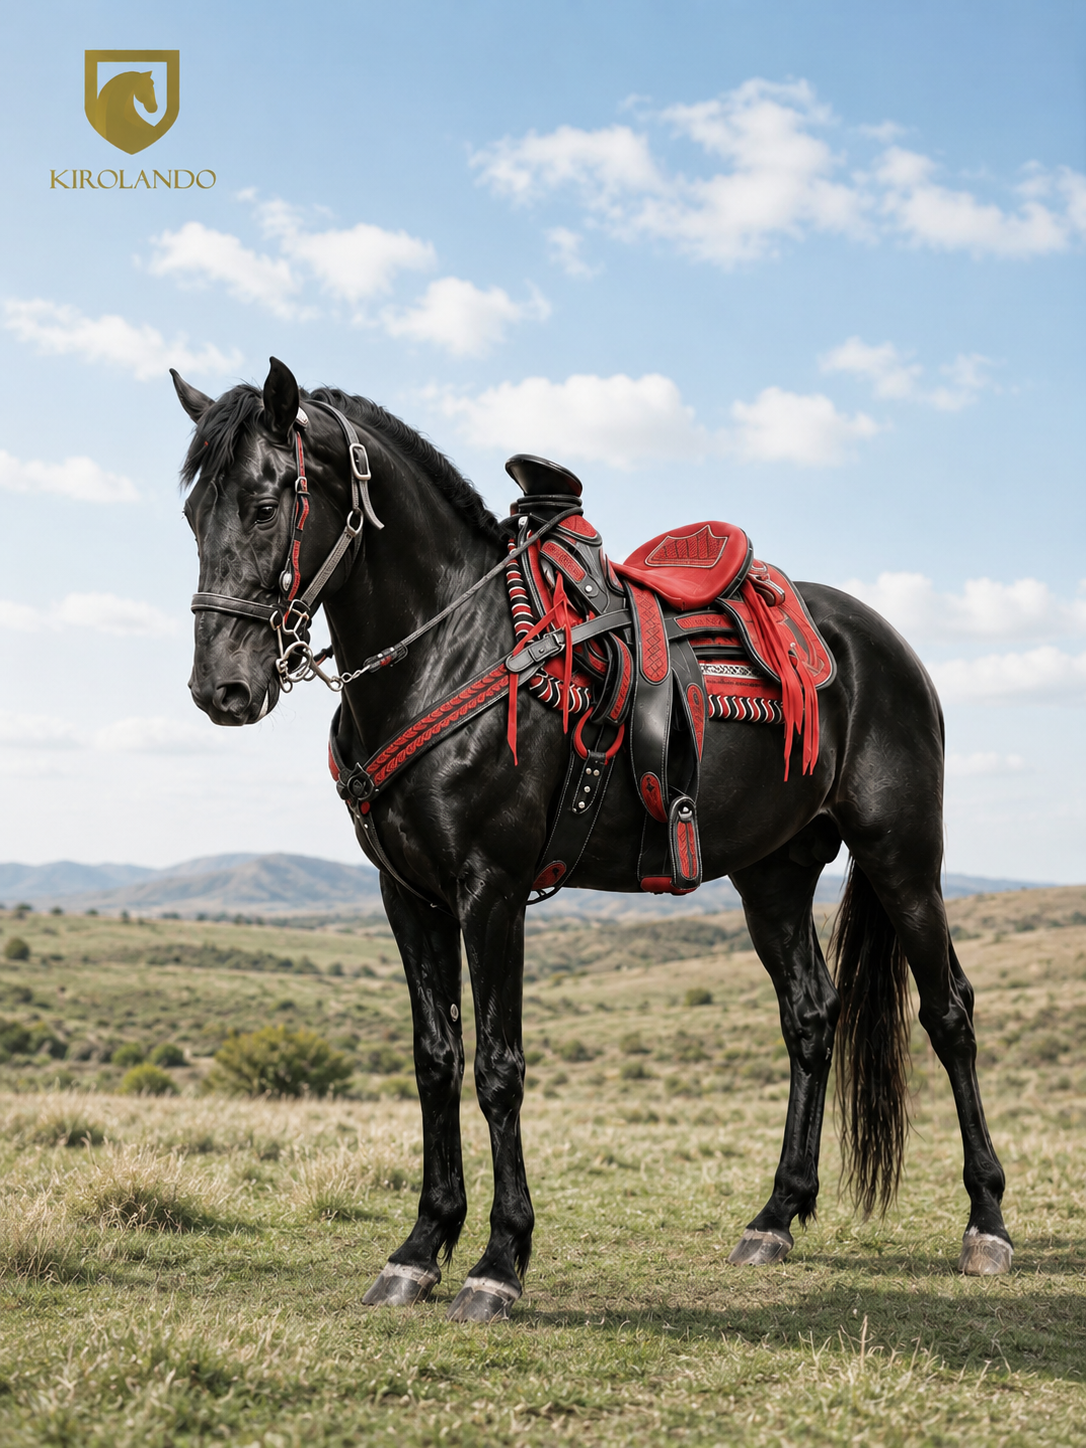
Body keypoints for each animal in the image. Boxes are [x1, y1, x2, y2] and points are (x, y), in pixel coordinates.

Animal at [173, 356, 1012, 1323]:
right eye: (194, 516)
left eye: (264, 505)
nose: (220, 689)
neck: (452, 651)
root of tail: (889, 646)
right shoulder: (408, 896)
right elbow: (435, 1063)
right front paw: (419, 1248)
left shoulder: (491, 889)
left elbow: (498, 1070)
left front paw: (499, 1262)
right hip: (772, 876)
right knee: (810, 1016)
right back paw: (775, 1216)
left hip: (903, 857)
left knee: (950, 1014)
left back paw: (987, 1222)